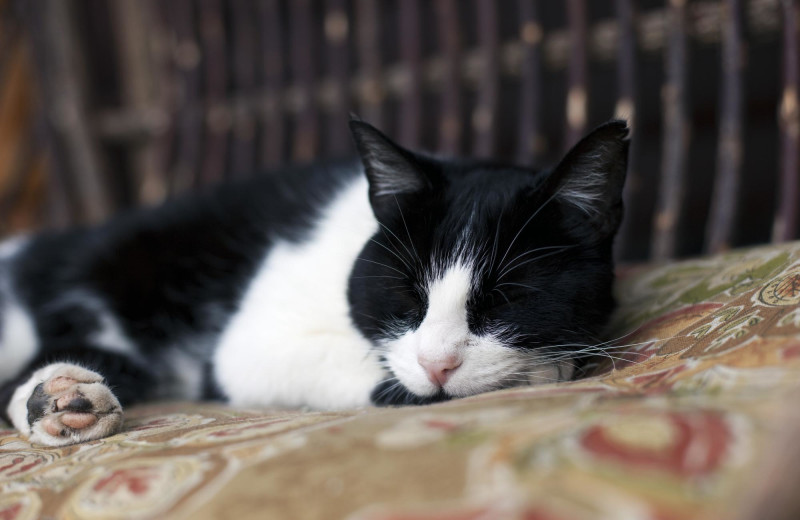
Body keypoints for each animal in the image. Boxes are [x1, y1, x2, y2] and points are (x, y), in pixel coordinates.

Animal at [0, 119, 628, 446]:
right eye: (407, 297)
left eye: (508, 301)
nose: (438, 364)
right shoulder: (249, 345)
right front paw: (540, 371)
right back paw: (60, 399)